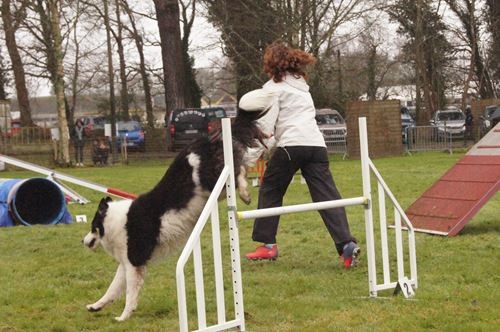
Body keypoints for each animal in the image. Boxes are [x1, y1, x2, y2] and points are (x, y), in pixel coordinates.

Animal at [82, 94, 272, 320]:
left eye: (92, 227)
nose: (83, 241)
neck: (114, 221)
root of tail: (206, 139)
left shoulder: (134, 261)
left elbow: (129, 293)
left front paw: (124, 316)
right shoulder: (127, 262)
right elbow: (112, 288)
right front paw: (96, 306)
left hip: (210, 179)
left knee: (237, 172)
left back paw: (244, 193)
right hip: (215, 187)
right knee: (239, 168)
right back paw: (245, 193)